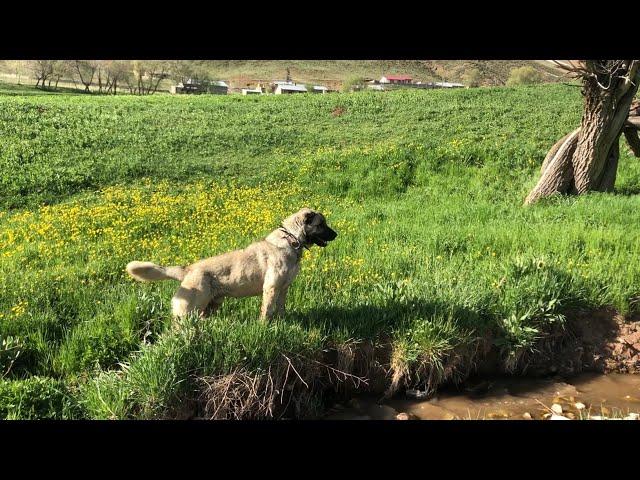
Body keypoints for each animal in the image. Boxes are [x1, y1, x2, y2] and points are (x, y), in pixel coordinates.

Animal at [122, 208, 338, 320]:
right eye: (321, 224)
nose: (336, 234)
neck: (292, 240)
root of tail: (188, 269)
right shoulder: (271, 288)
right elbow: (267, 311)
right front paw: (265, 326)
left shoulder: (283, 288)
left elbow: (280, 309)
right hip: (190, 309)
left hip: (212, 304)